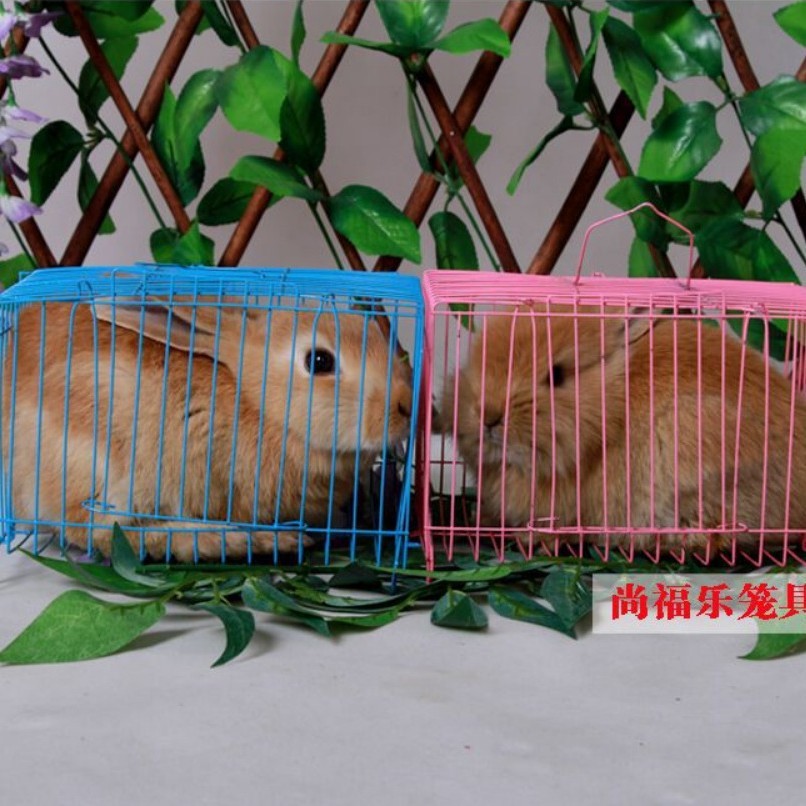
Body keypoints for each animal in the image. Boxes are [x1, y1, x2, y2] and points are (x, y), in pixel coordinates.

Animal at [2, 297, 412, 562]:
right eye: (320, 361)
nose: (405, 407)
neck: (258, 404)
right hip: (104, 462)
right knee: (111, 534)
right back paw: (250, 542)